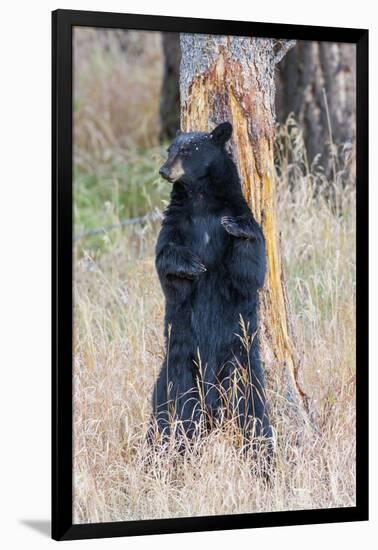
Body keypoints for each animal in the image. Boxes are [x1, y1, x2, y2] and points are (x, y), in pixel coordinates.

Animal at [151, 124, 272, 452]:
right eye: (169, 149)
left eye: (187, 150)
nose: (164, 170)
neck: (202, 200)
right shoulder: (176, 223)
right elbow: (167, 266)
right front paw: (192, 264)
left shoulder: (239, 212)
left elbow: (249, 270)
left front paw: (237, 228)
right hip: (178, 363)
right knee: (171, 408)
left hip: (242, 363)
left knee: (253, 410)